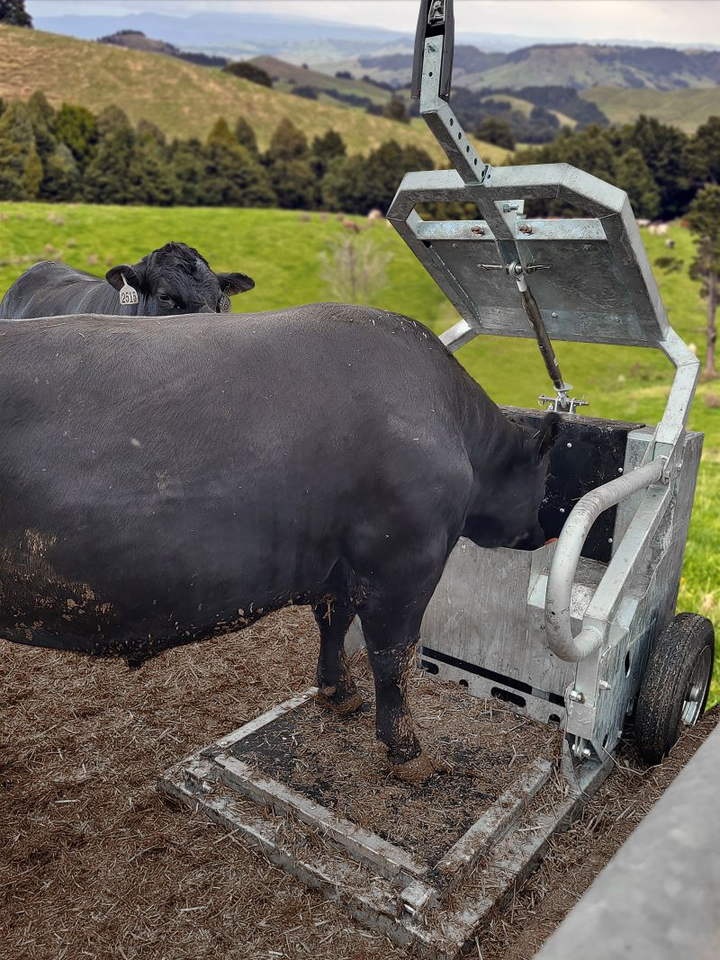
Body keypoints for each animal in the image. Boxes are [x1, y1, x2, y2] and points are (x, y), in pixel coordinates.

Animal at [0, 306, 556, 780]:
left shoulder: (336, 567)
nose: (542, 530)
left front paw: (338, 691)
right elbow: (393, 658)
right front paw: (408, 752)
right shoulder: (404, 563)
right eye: (543, 480)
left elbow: (333, 624)